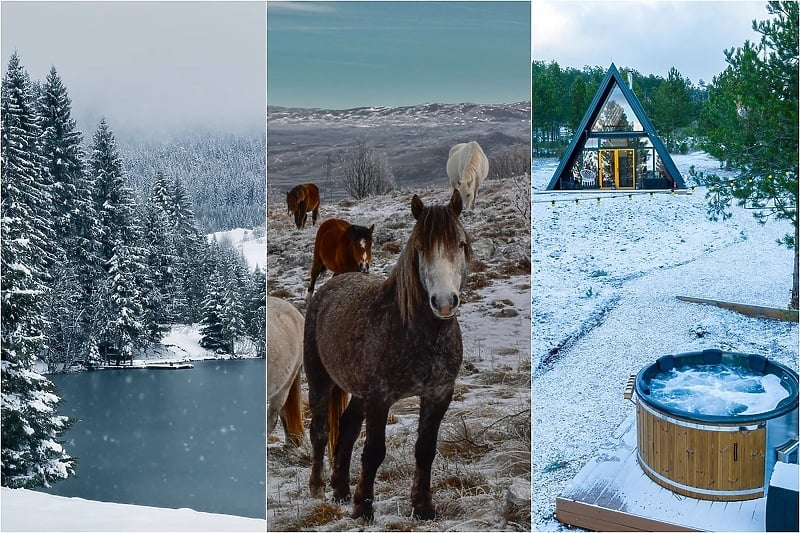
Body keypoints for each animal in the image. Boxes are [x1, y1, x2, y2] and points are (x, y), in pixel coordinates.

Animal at [304, 190, 468, 520]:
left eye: (460, 243)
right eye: (420, 247)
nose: (444, 302)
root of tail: (330, 287)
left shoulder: (439, 394)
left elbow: (425, 450)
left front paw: (423, 506)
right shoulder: (380, 398)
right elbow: (374, 451)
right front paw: (364, 506)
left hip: (359, 393)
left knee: (347, 429)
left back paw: (341, 489)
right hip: (320, 380)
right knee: (321, 431)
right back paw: (318, 488)